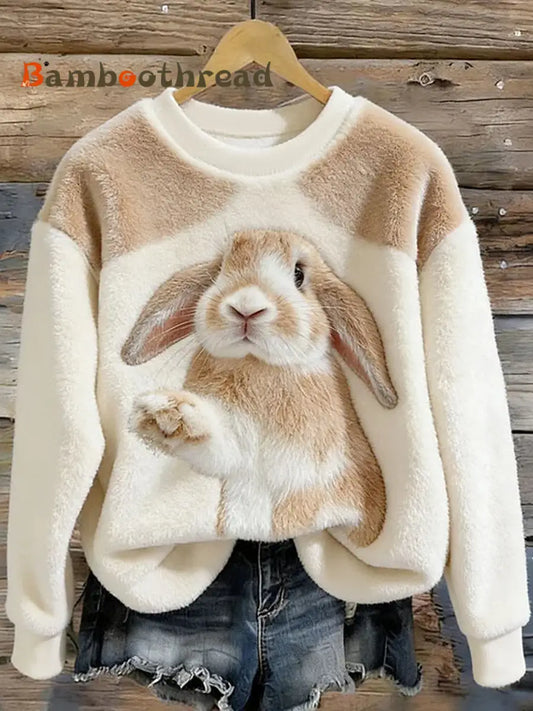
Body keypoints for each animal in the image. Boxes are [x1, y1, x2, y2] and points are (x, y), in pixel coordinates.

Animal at [121, 229, 398, 546]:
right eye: (221, 269)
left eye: (299, 275)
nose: (246, 307)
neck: (258, 364)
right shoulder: (233, 446)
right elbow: (217, 445)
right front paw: (162, 415)